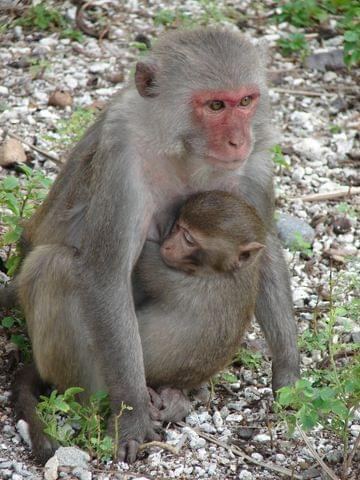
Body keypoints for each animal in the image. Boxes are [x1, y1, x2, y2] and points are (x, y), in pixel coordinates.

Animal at [134, 189, 266, 422]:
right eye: (177, 226)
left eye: (188, 239)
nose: (167, 245)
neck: (226, 271)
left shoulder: (174, 277)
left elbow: (146, 262)